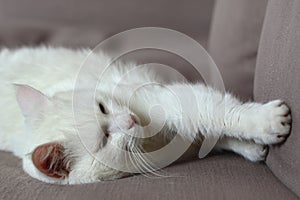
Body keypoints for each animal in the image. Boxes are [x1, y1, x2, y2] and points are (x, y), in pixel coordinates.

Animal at [0, 46, 292, 184]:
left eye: (102, 107)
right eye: (104, 139)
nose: (129, 120)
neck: (152, 141)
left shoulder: (170, 101)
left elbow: (218, 118)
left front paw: (259, 132)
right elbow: (215, 130)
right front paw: (260, 137)